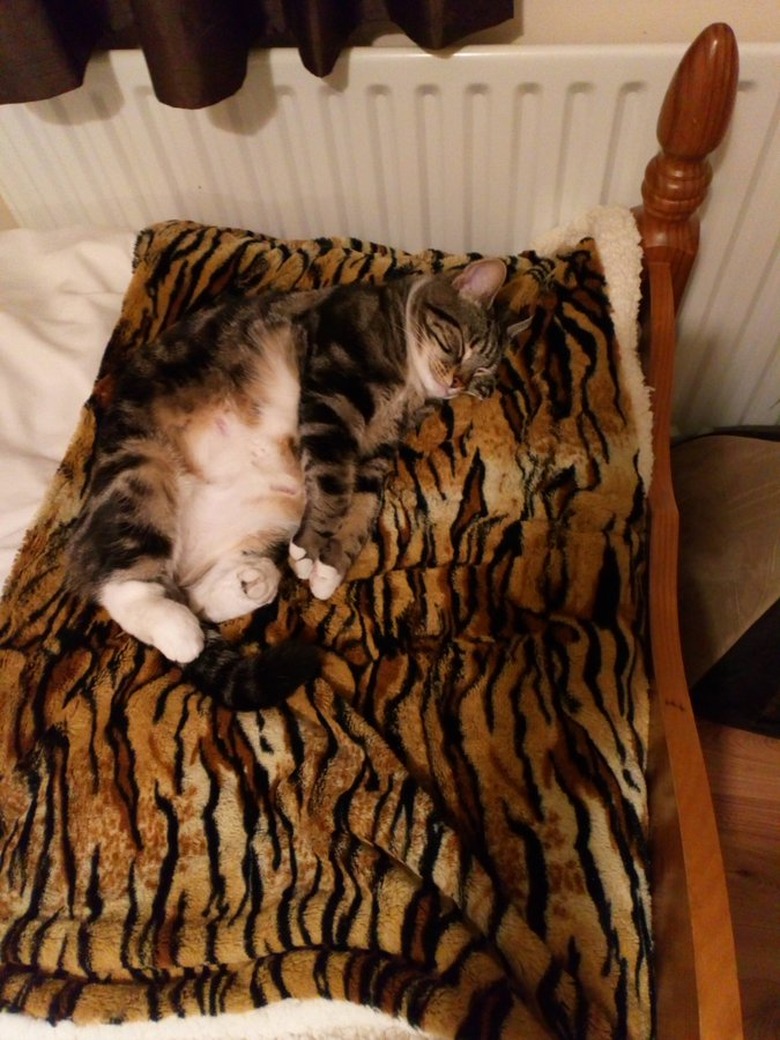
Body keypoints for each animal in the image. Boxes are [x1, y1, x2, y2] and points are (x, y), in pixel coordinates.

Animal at [68, 258, 513, 707]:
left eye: (482, 373)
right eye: (462, 345)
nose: (458, 383)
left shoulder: (376, 455)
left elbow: (362, 507)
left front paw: (329, 568)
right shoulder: (334, 394)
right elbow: (335, 488)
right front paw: (310, 550)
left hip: (259, 523)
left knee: (191, 593)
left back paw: (249, 584)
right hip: (139, 472)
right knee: (121, 587)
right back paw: (179, 631)